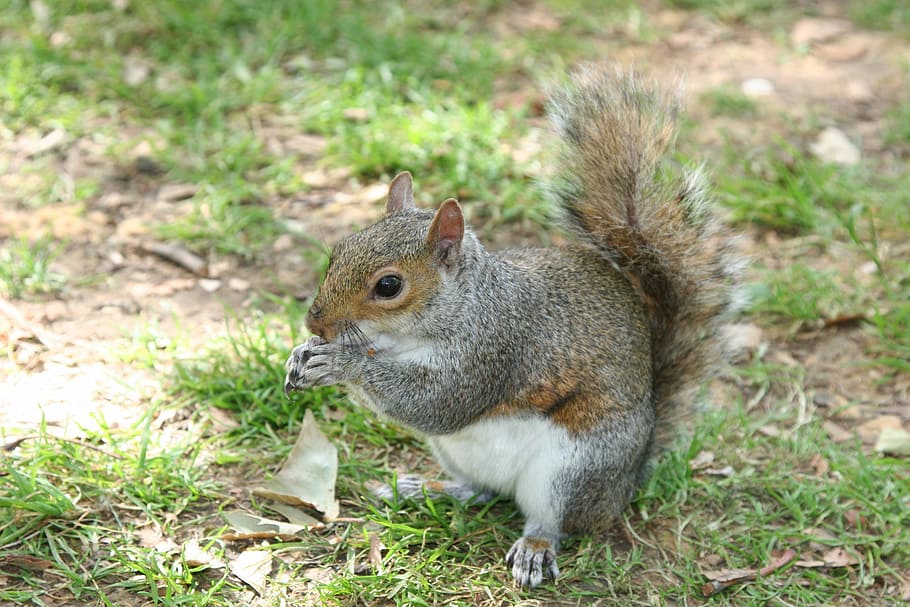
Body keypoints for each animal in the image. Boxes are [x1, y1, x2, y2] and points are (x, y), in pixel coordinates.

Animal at [284, 66, 744, 588]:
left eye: (388, 285)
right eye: (338, 251)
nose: (315, 321)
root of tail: (627, 480)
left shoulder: (498, 349)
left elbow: (436, 402)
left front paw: (342, 363)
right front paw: (301, 355)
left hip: (574, 468)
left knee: (554, 518)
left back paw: (535, 547)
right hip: (457, 453)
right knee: (481, 490)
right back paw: (429, 488)